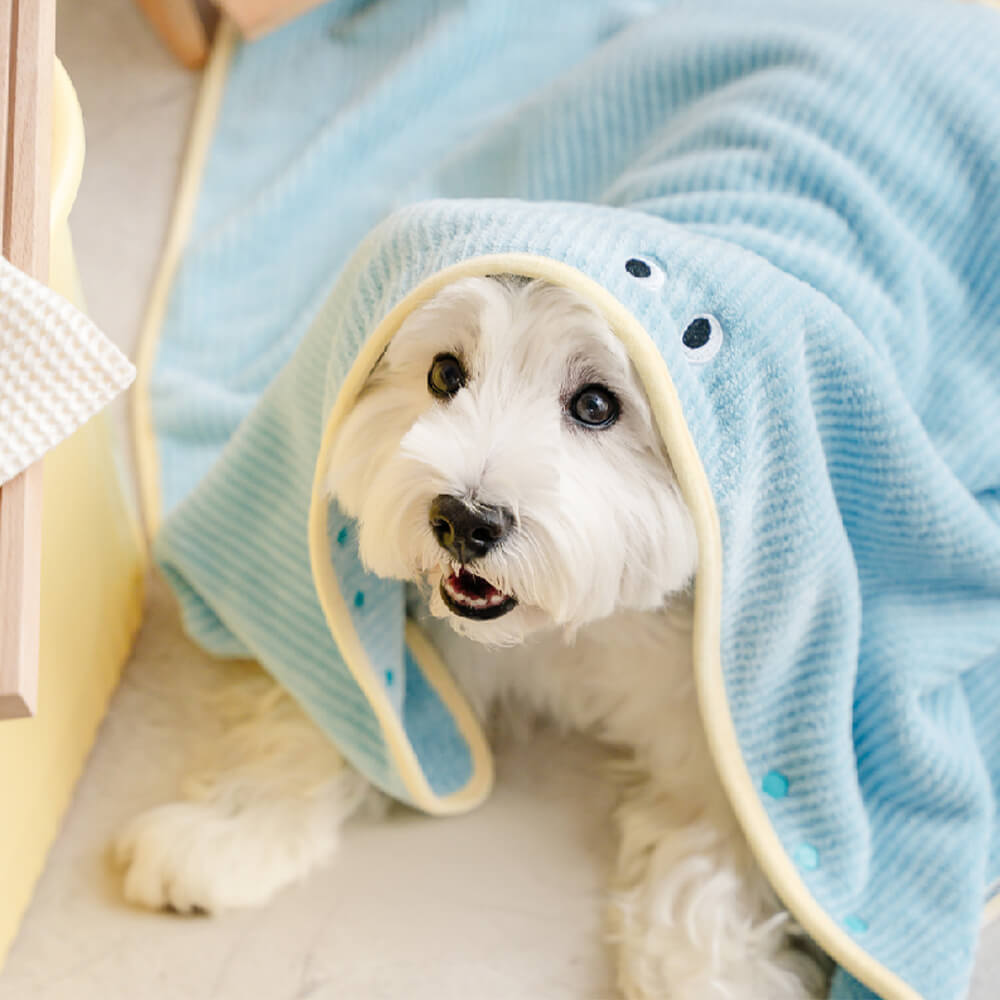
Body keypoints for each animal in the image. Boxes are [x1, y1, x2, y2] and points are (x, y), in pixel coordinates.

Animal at [117, 278, 828, 1000]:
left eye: (597, 405)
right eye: (444, 373)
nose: (463, 520)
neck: (549, 630)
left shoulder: (705, 727)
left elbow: (708, 855)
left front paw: (713, 976)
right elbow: (332, 717)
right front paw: (229, 832)